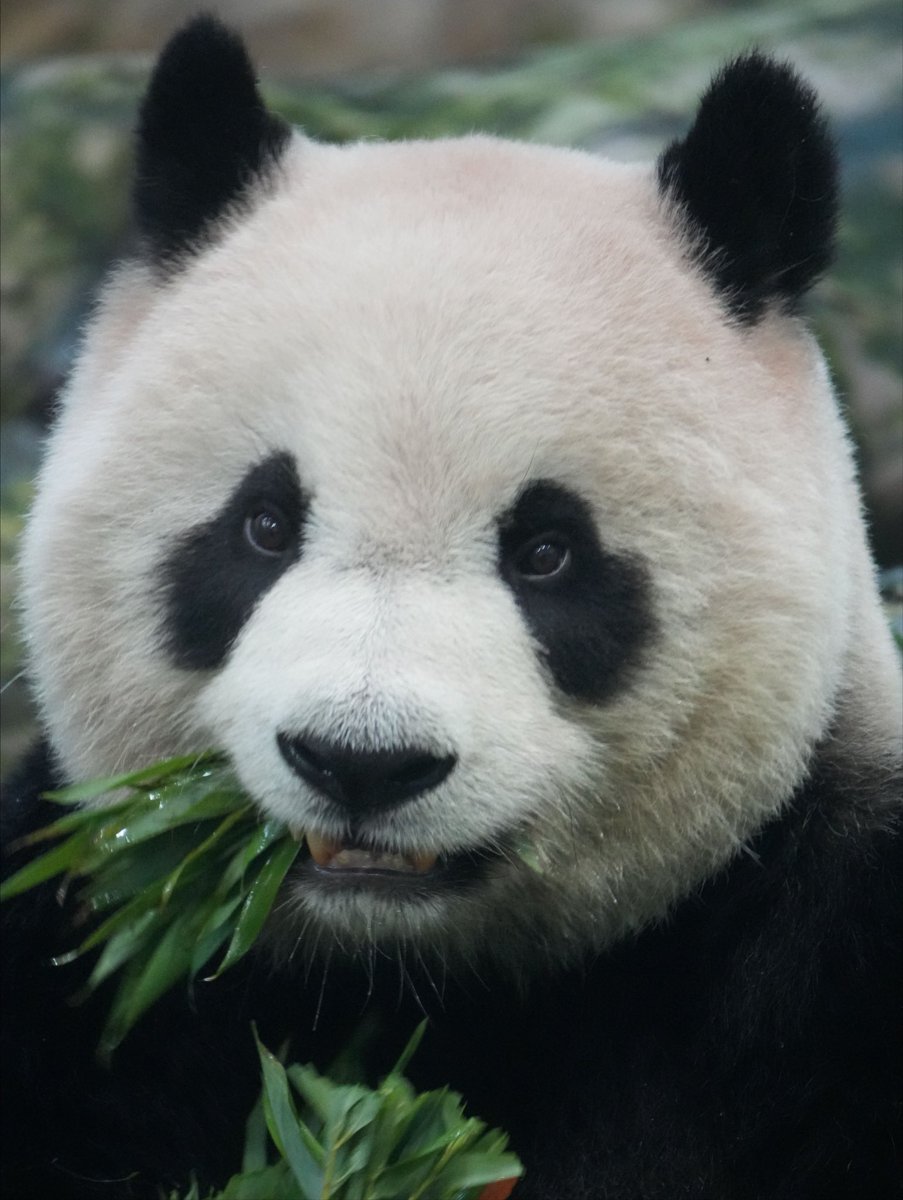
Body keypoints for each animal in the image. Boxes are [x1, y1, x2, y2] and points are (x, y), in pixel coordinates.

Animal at [2, 15, 901, 1199]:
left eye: (548, 553)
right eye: (265, 525)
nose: (362, 762)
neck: (411, 980)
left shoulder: (823, 948)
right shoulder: (91, 940)